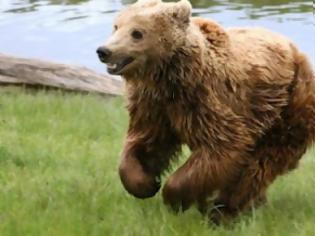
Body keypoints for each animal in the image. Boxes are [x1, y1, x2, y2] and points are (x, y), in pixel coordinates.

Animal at [97, 0, 315, 223]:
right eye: (116, 26)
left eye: (137, 33)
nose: (104, 51)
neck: (169, 78)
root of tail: (297, 50)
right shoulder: (153, 107)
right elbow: (146, 142)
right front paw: (146, 184)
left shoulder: (206, 101)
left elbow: (223, 146)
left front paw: (174, 197)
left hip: (287, 104)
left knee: (262, 162)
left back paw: (224, 210)